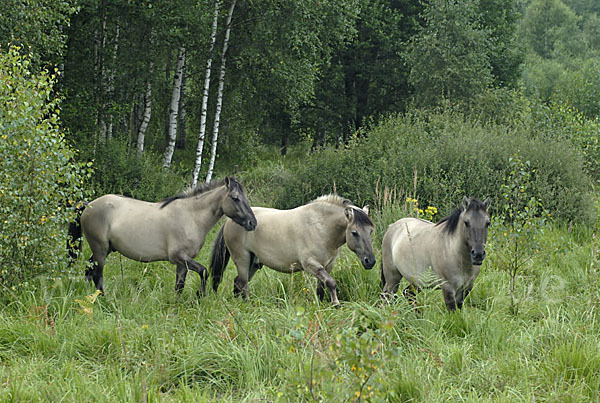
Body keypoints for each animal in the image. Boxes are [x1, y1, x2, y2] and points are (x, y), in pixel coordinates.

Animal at [69, 177, 256, 296]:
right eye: (235, 198)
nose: (252, 223)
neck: (191, 216)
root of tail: (89, 205)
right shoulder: (178, 257)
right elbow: (203, 272)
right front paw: (200, 296)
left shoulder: (183, 262)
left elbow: (179, 286)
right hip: (100, 248)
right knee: (97, 274)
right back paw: (103, 299)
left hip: (106, 249)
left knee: (89, 270)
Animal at [211, 195, 376, 306]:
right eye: (354, 232)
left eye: (371, 231)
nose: (371, 261)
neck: (320, 227)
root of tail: (229, 221)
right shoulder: (311, 265)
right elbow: (331, 282)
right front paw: (336, 305)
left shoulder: (327, 265)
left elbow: (322, 287)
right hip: (243, 260)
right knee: (243, 284)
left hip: (253, 263)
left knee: (238, 283)